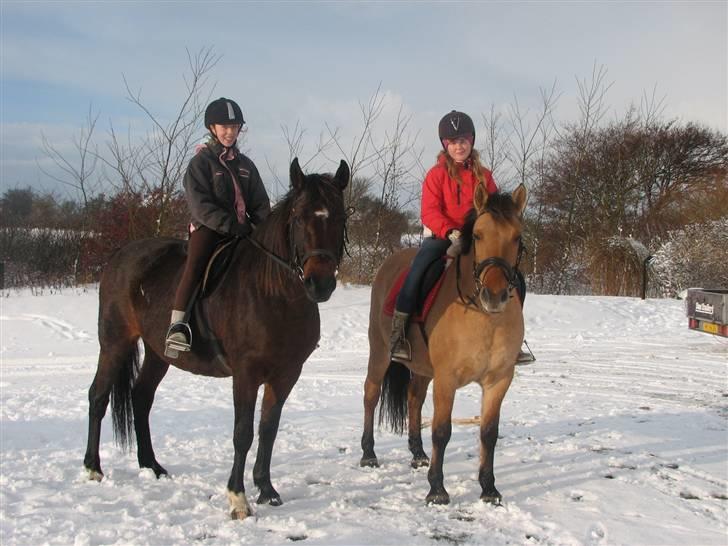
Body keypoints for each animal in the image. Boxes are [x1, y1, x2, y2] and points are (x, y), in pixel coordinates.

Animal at [82, 158, 350, 520]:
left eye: (340, 217)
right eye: (298, 217)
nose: (320, 284)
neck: (273, 293)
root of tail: (121, 254)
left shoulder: (286, 374)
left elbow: (268, 429)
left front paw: (266, 490)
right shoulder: (246, 374)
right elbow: (243, 433)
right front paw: (238, 498)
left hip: (157, 353)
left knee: (141, 398)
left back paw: (151, 466)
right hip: (114, 342)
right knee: (98, 396)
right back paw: (92, 468)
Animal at [362, 185, 528, 504]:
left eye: (516, 237)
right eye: (478, 235)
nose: (495, 295)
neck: (483, 317)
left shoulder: (499, 380)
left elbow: (489, 432)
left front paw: (489, 489)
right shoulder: (446, 379)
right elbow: (441, 431)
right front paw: (437, 490)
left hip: (422, 368)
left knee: (414, 399)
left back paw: (417, 453)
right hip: (379, 353)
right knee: (371, 395)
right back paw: (368, 453)